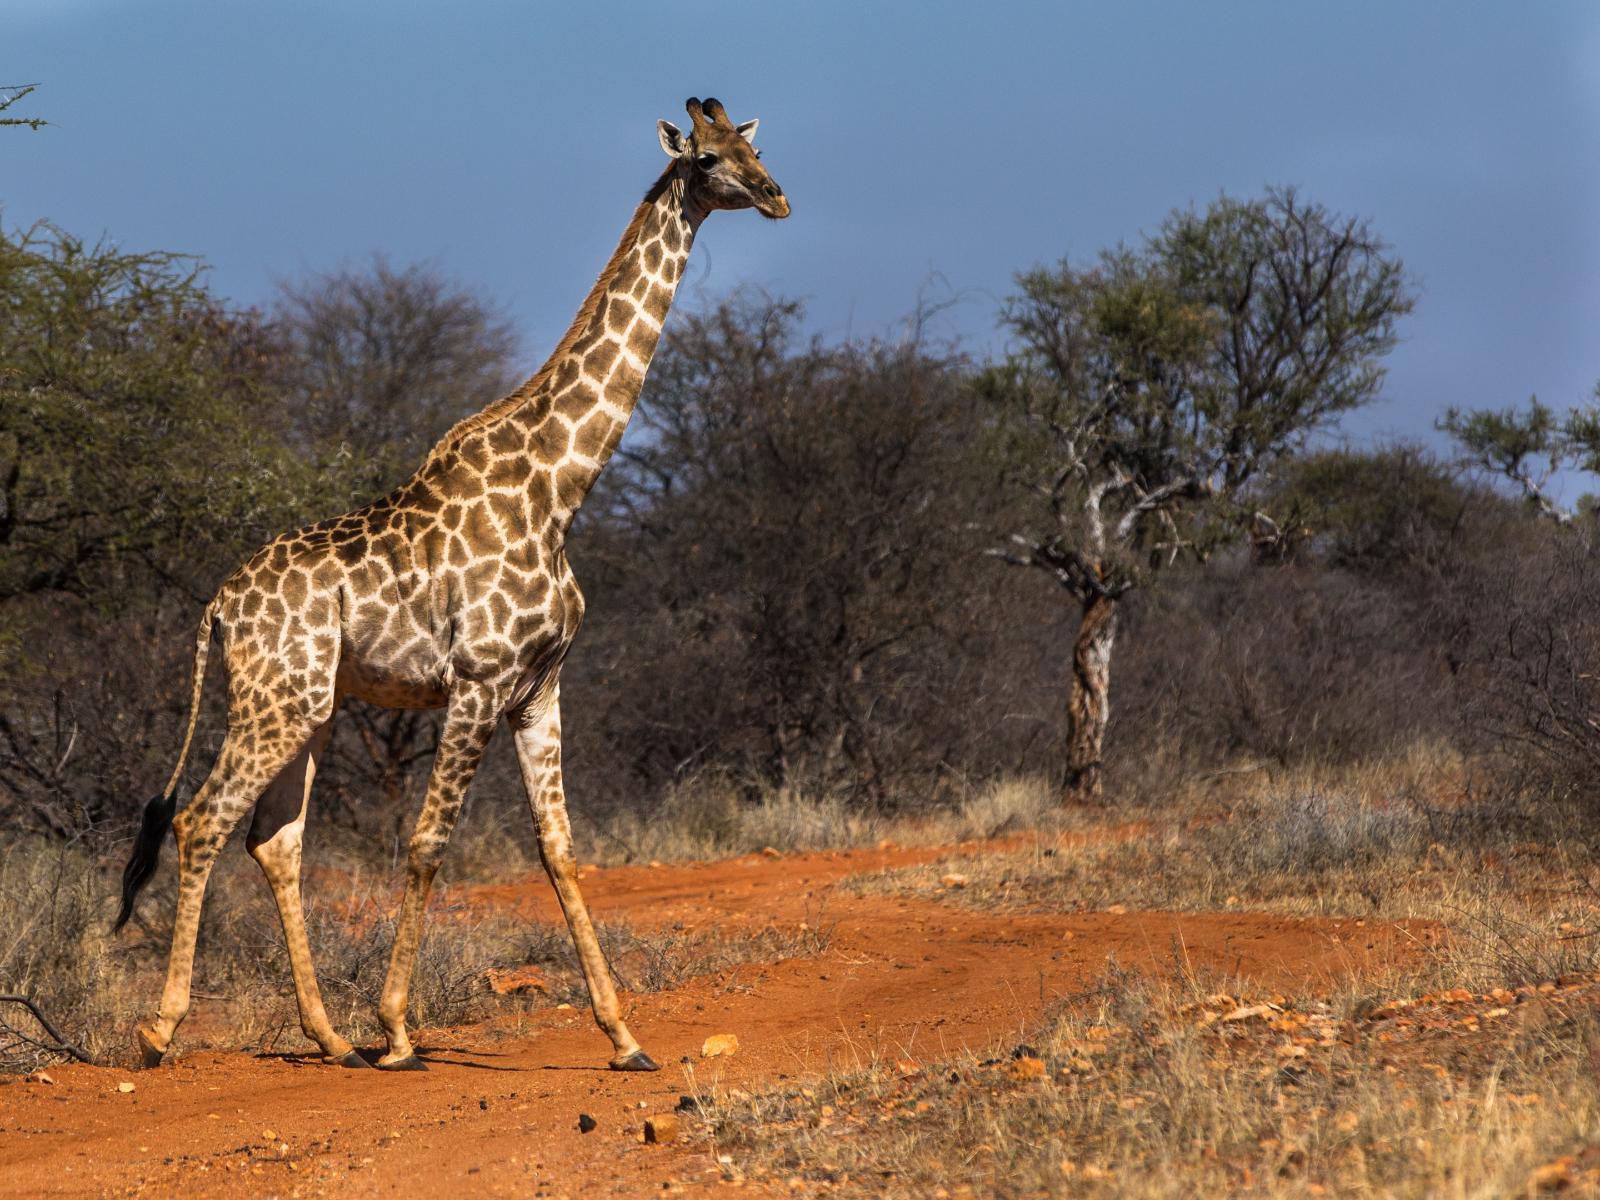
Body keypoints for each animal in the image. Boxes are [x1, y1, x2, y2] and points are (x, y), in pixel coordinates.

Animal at [112, 94, 787, 1068]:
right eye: (706, 157)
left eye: (753, 145)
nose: (775, 195)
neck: (560, 488)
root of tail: (217, 608)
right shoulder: (477, 680)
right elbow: (430, 841)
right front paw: (397, 1026)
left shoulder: (539, 688)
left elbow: (560, 850)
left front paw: (624, 1036)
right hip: (275, 701)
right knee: (203, 818)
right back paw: (164, 1028)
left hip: (311, 706)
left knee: (273, 841)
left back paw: (329, 1039)